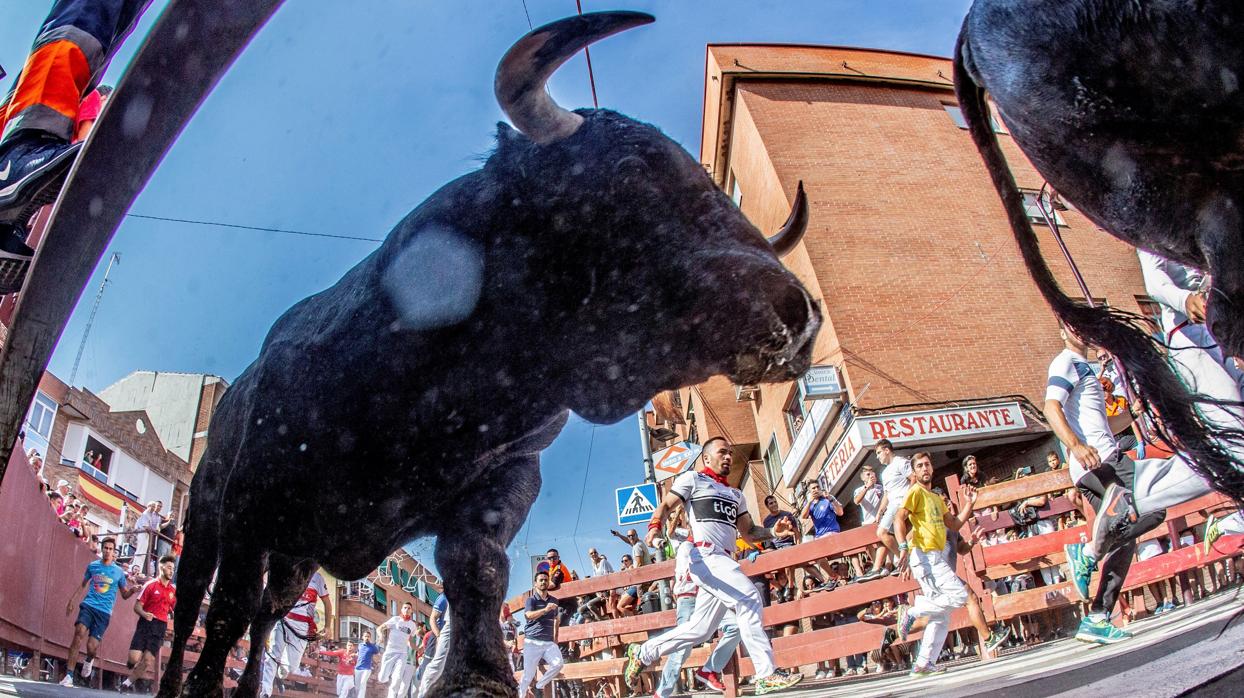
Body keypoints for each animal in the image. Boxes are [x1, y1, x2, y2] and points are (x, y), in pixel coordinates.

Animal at [155, 12, 821, 696]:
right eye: (632, 166)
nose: (796, 314)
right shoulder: (247, 512)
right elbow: (224, 609)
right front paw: (201, 686)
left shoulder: (508, 477)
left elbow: (474, 569)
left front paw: (478, 676)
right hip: (209, 519)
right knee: (200, 602)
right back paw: (179, 678)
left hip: (295, 557)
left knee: (269, 614)